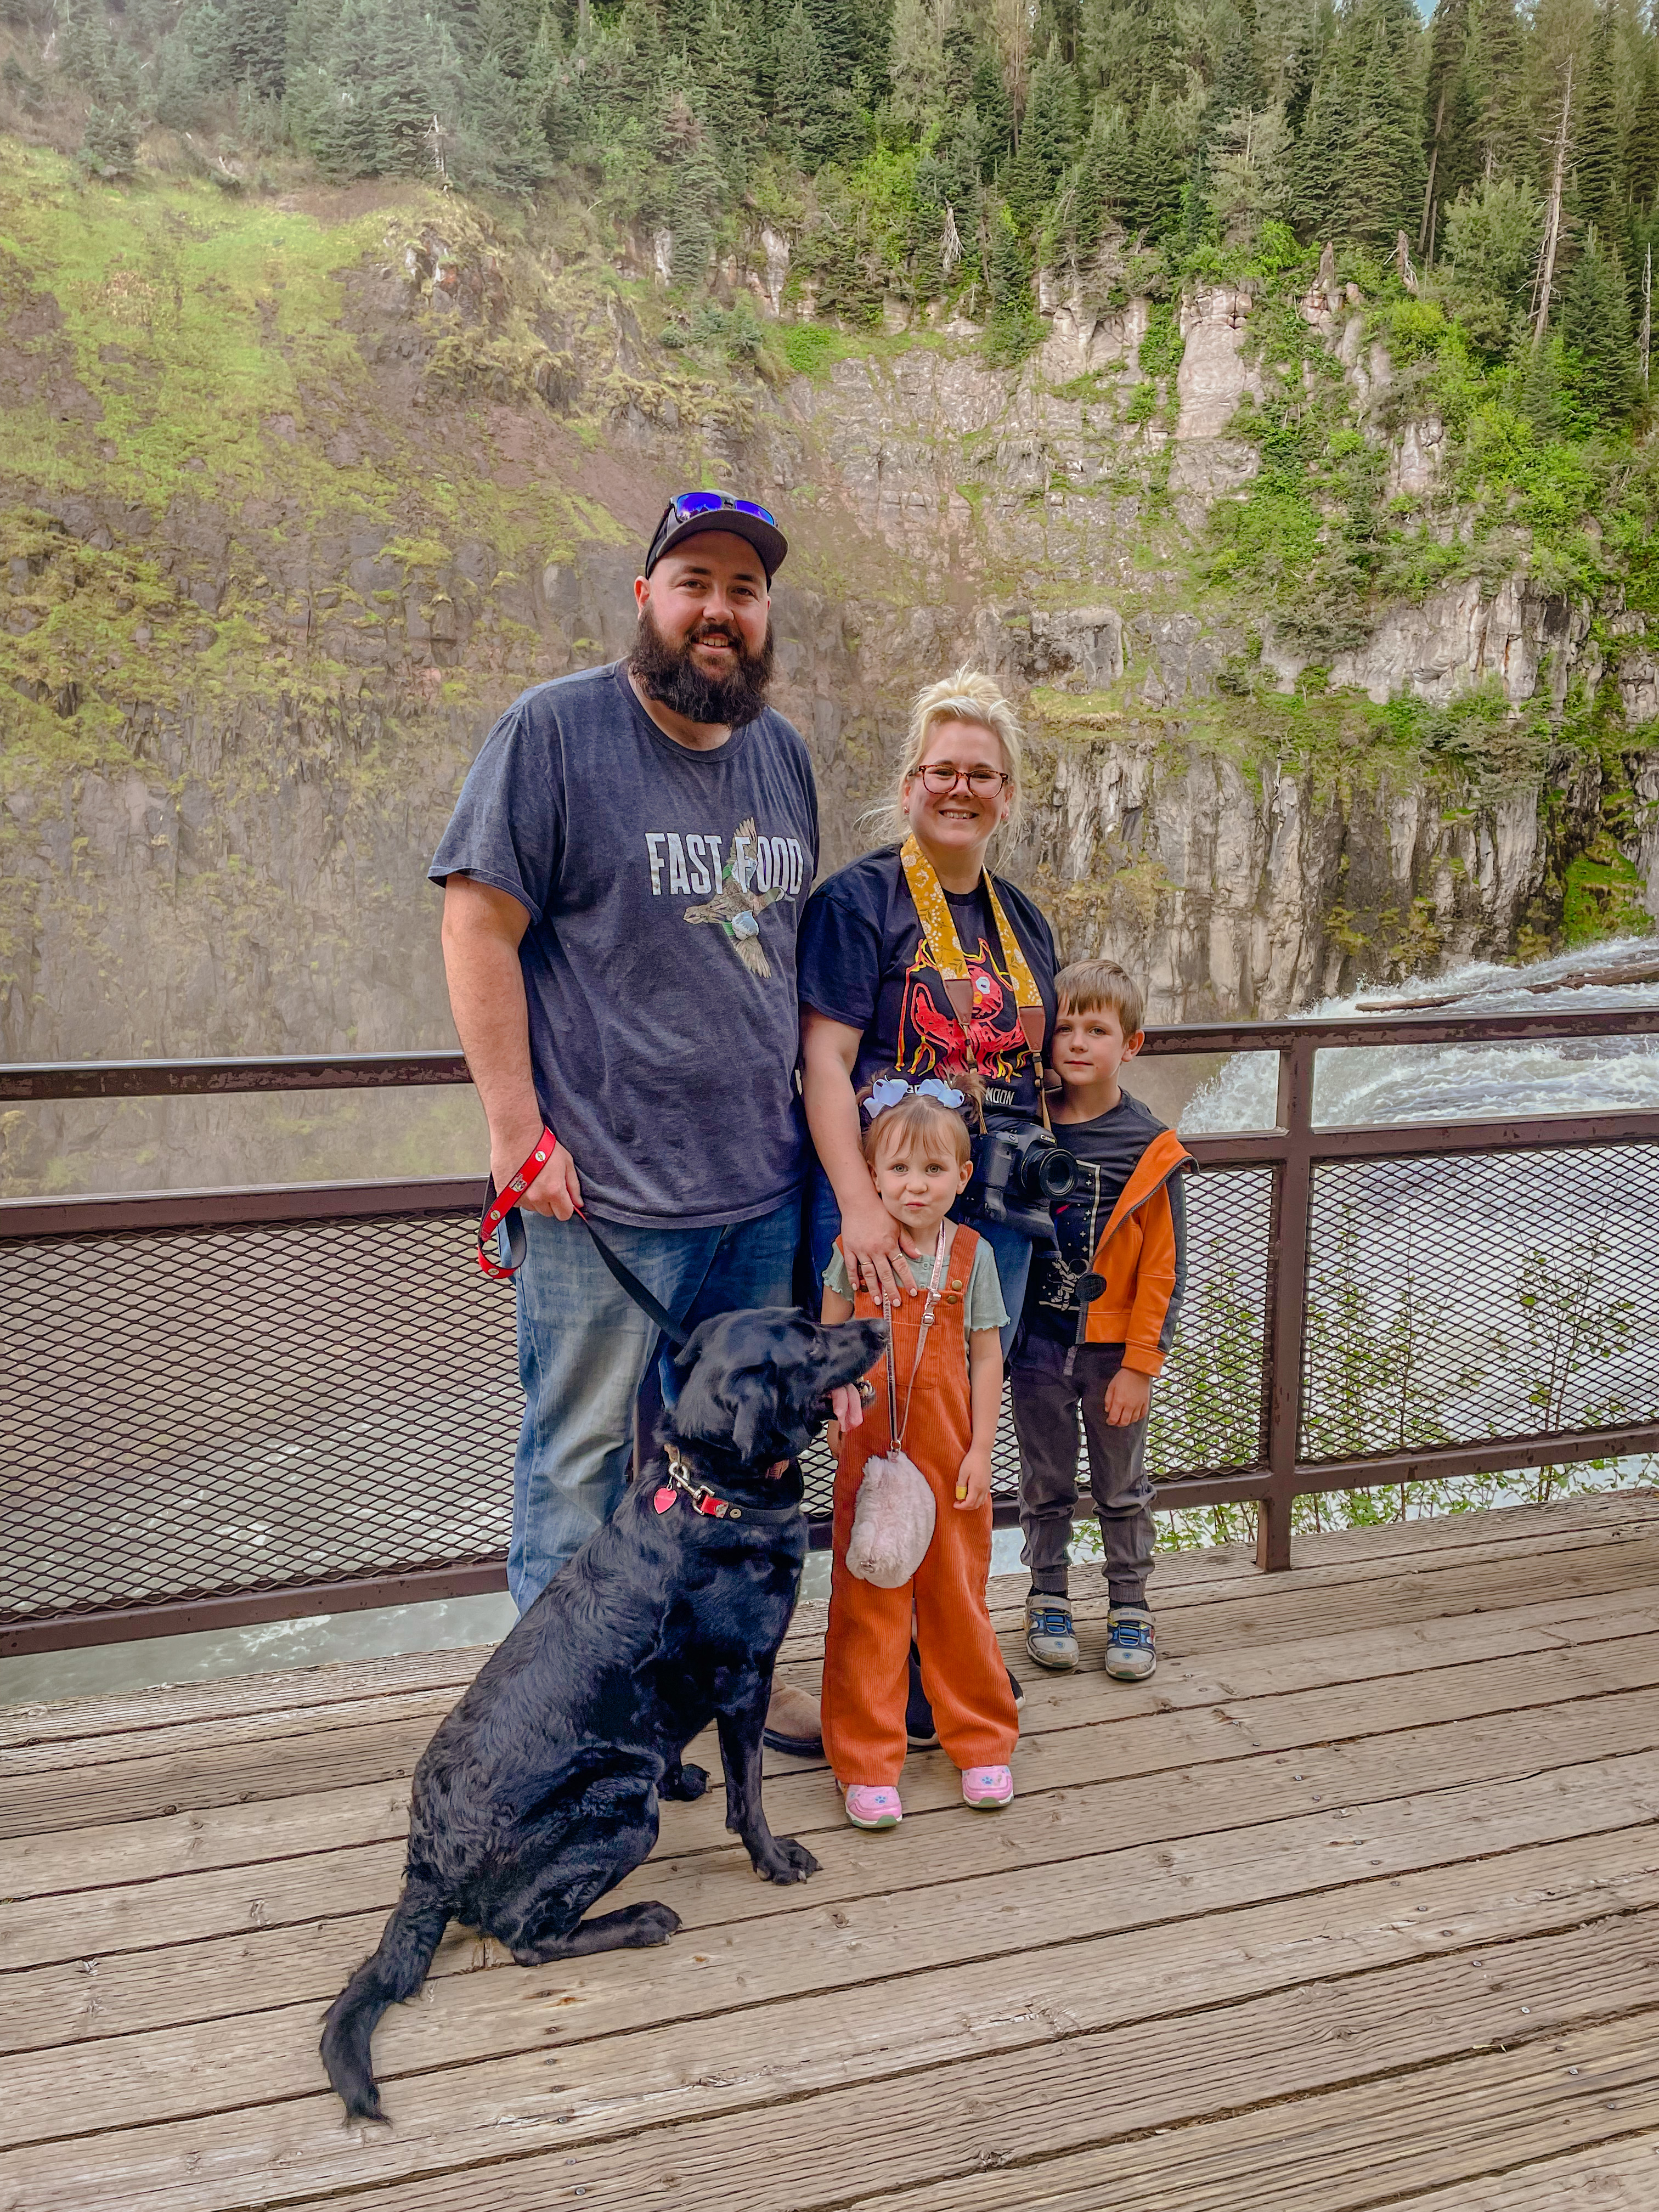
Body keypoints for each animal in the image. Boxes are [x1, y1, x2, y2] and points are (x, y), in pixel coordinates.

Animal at [320, 1300, 889, 2114]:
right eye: (810, 1338)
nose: (879, 1327)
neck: (713, 1492)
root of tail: (428, 1865)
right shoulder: (747, 1680)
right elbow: (750, 1797)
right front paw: (775, 1861)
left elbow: (677, 1742)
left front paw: (682, 1776)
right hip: (618, 1807)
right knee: (528, 1939)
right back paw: (642, 1921)